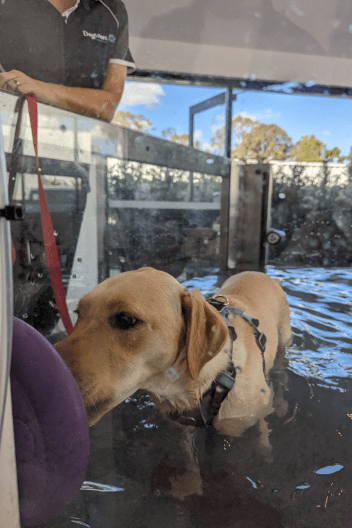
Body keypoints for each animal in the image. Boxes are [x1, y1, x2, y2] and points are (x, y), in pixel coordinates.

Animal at [55, 266, 292, 440]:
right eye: (78, 313)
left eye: (126, 319)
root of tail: (264, 274)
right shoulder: (182, 426)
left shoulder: (244, 420)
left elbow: (262, 436)